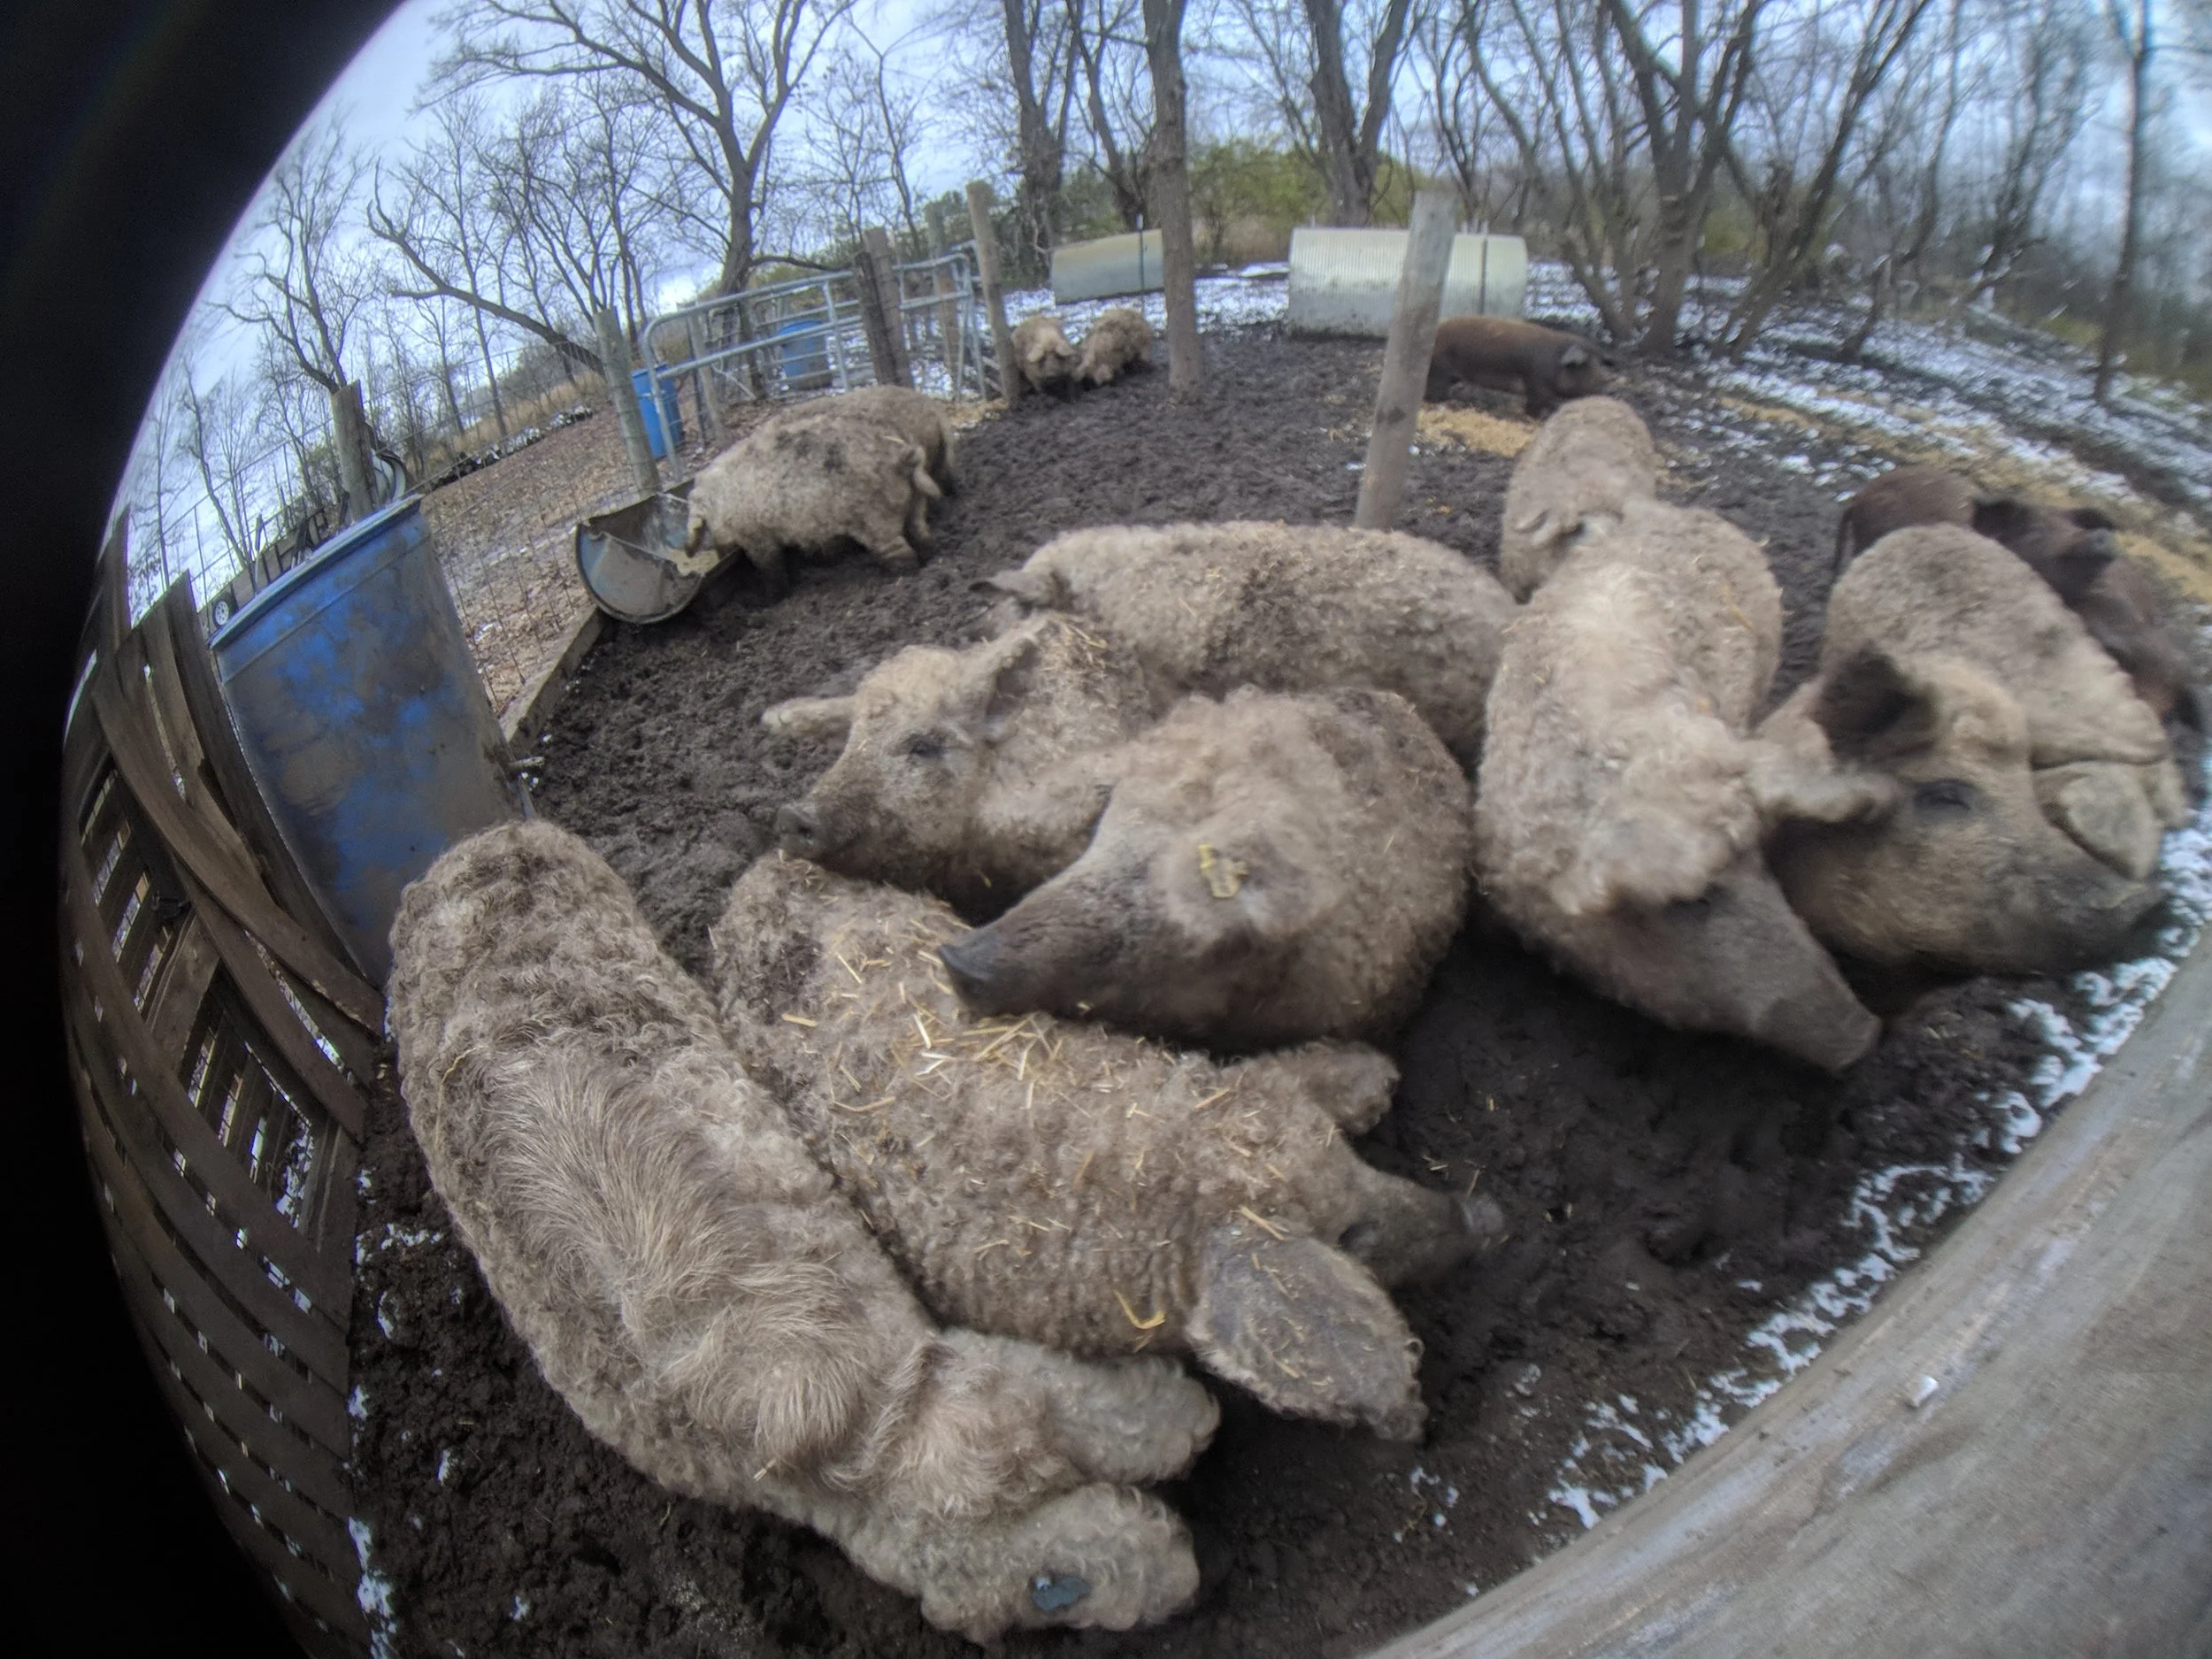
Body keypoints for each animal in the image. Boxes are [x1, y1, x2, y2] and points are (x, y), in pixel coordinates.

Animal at [685, 408, 940, 600]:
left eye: (706, 527)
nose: (719, 553)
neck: (719, 501)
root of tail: (905, 453)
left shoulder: (757, 536)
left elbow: (771, 569)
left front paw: (772, 600)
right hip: (917, 501)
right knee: (922, 533)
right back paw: (930, 559)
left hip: (876, 517)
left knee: (900, 552)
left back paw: (900, 580)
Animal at [1423, 316, 1615, 417]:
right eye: (1586, 365)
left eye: (1599, 362)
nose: (1609, 384)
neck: (1555, 362)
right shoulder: (1537, 385)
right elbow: (1538, 404)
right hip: (1439, 370)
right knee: (1436, 392)